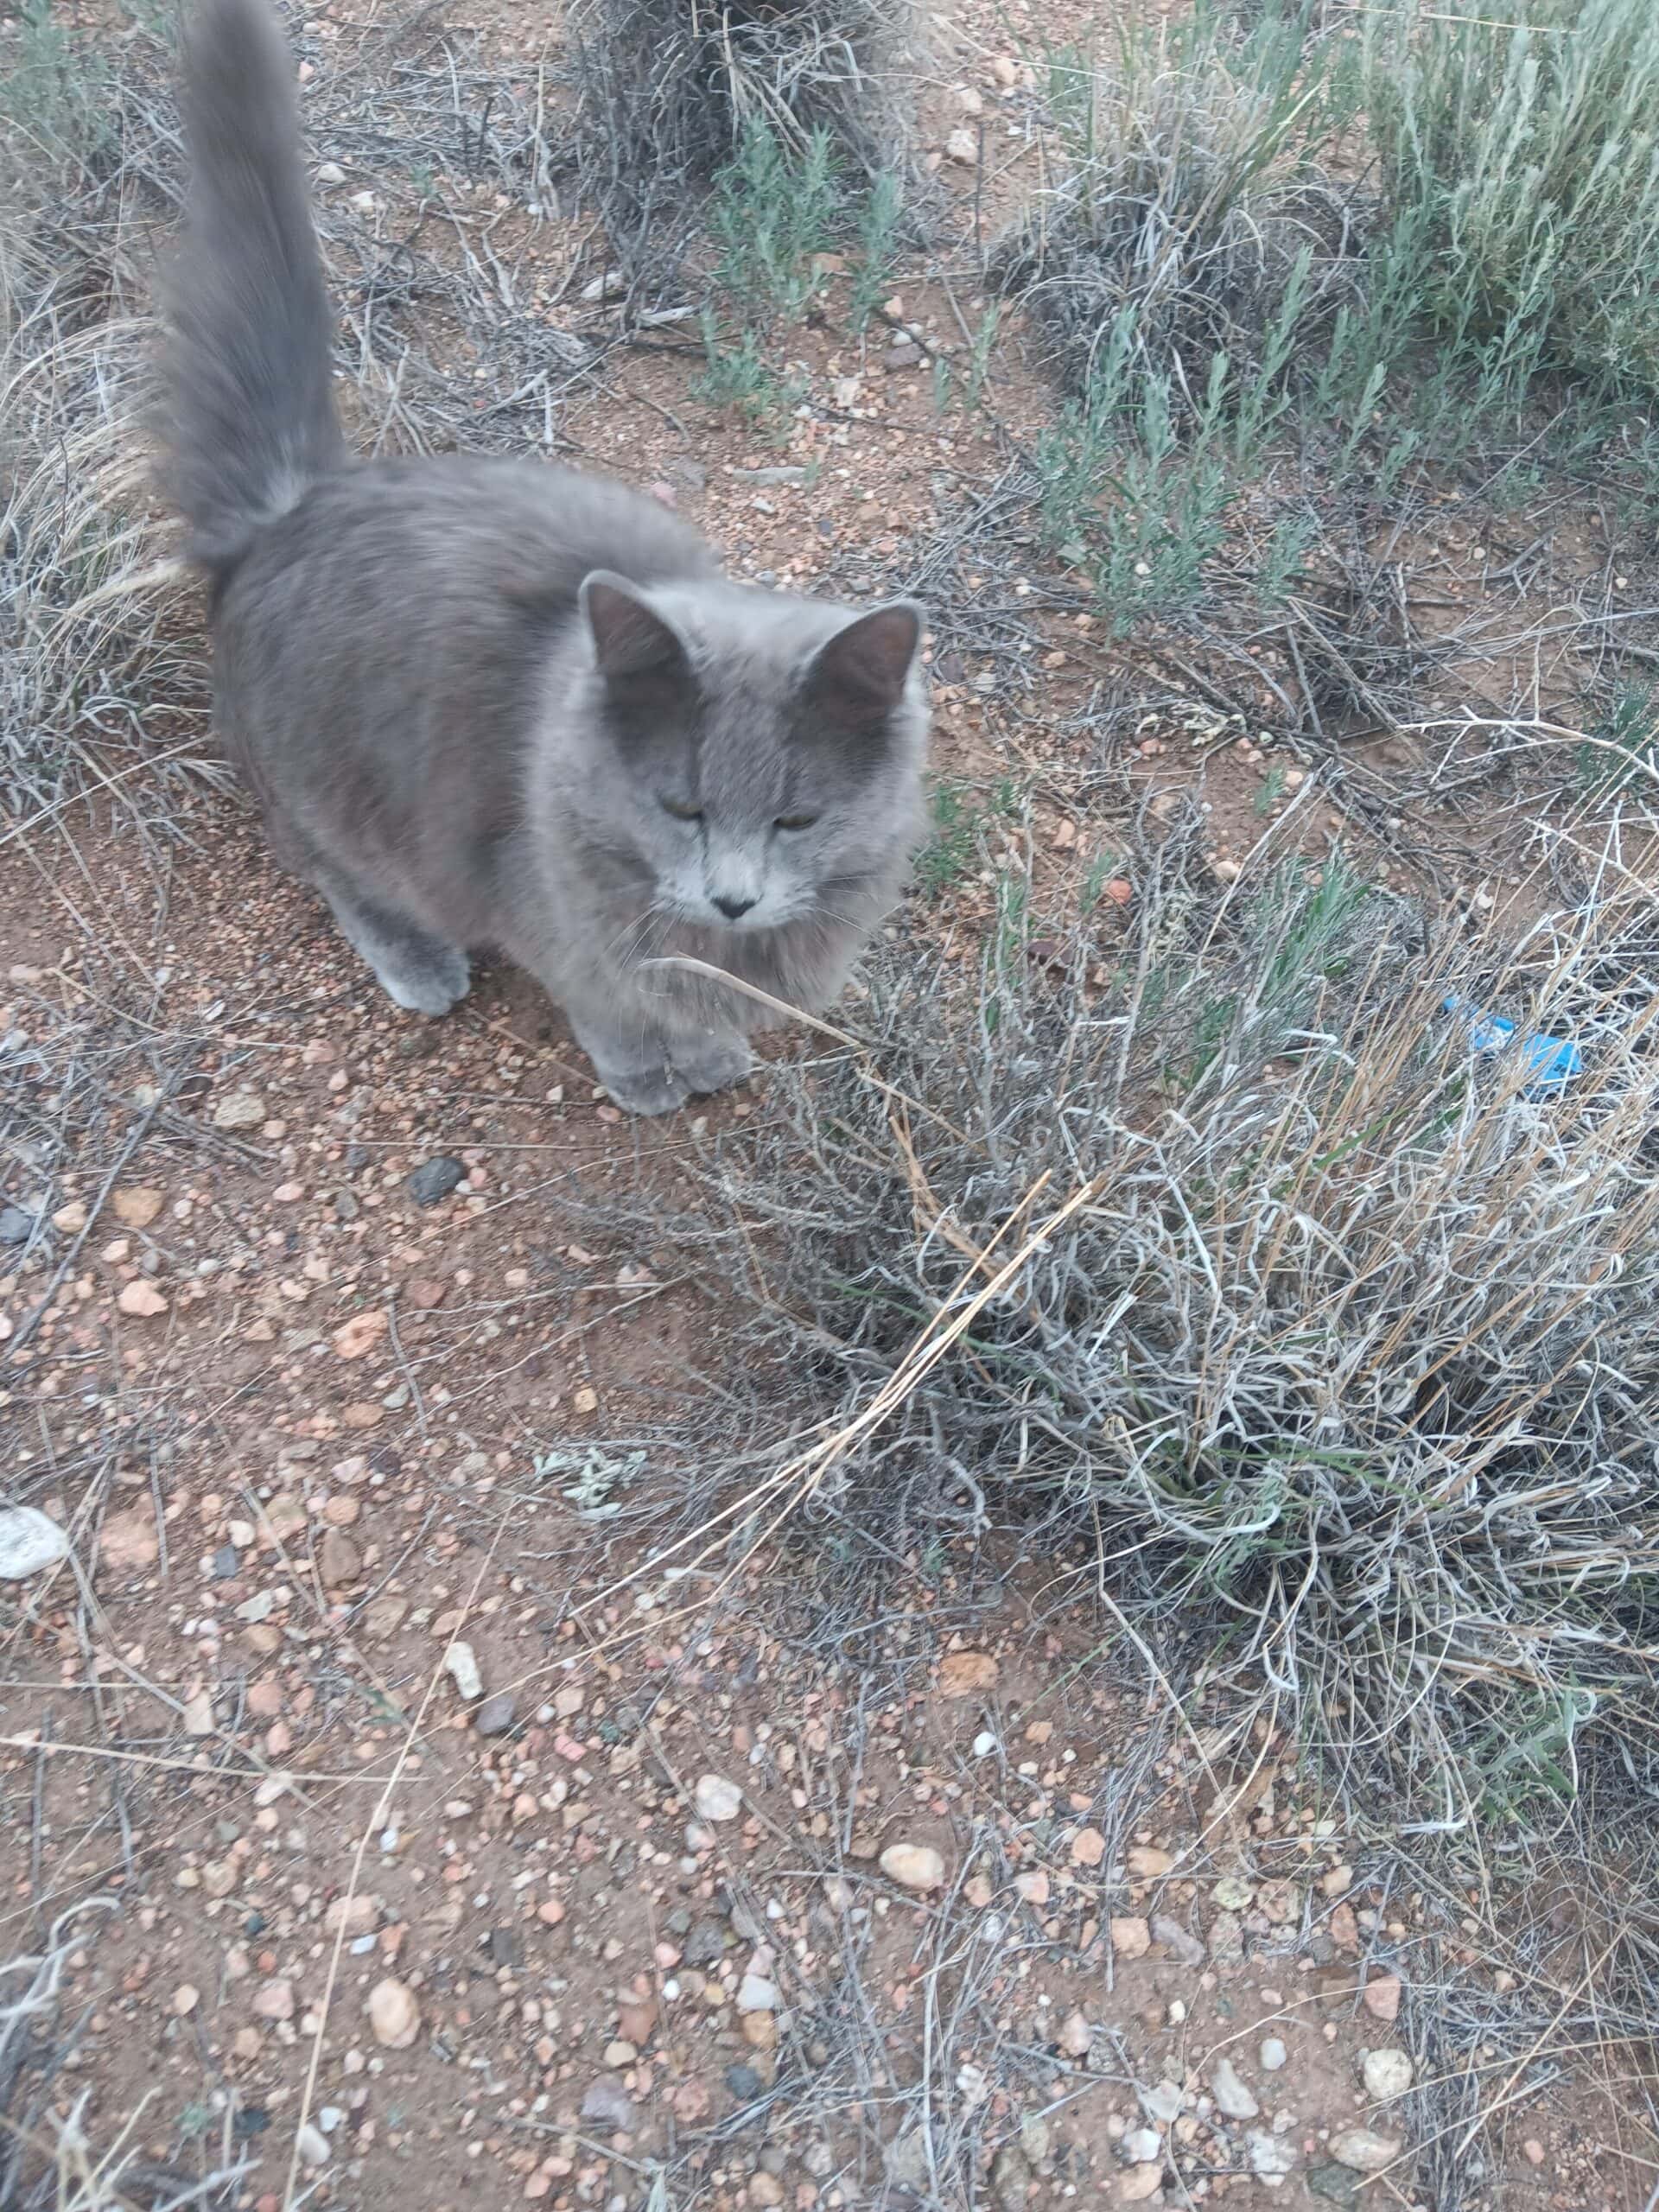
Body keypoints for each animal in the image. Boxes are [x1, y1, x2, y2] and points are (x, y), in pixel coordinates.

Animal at [160, 0, 929, 1115]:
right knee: (334, 871)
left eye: (797, 819)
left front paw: (710, 1052)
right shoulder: (548, 909)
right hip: (331, 792)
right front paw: (654, 1074)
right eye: (681, 808)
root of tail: (292, 507)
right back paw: (420, 963)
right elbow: (610, 1001)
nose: (733, 899)